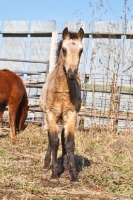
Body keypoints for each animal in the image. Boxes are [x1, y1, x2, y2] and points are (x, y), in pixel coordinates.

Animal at [39, 27, 84, 182]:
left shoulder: (71, 115)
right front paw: (54, 175)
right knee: (50, 138)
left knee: (63, 139)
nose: (71, 74)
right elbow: (54, 141)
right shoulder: (51, 114)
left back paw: (64, 165)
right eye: (64, 50)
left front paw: (74, 176)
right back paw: (47, 164)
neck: (63, 92)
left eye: (81, 51)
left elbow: (69, 143)